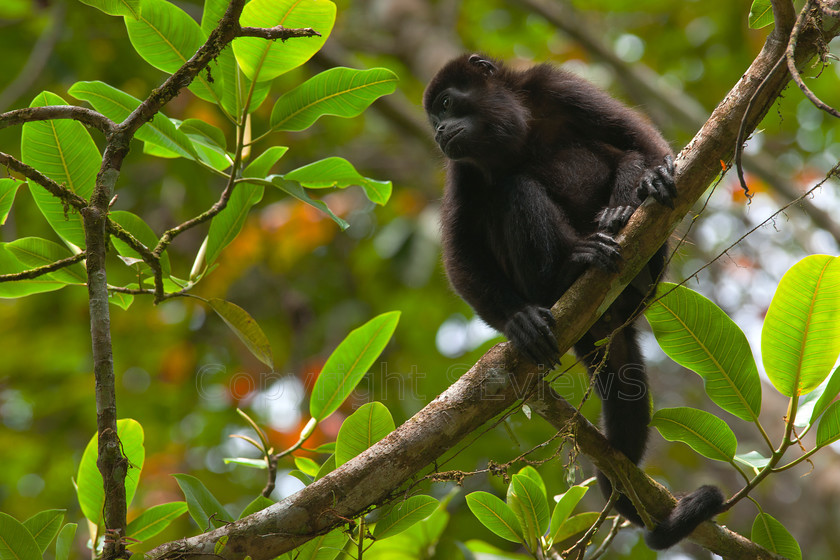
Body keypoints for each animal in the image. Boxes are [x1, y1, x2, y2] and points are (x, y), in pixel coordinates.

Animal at [424, 54, 724, 548]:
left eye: (447, 104)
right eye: (433, 118)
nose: (439, 131)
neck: (512, 131)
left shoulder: (556, 85)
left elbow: (639, 139)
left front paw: (652, 178)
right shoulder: (460, 170)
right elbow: (461, 255)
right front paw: (518, 321)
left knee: (623, 156)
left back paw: (626, 218)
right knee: (512, 189)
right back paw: (570, 268)